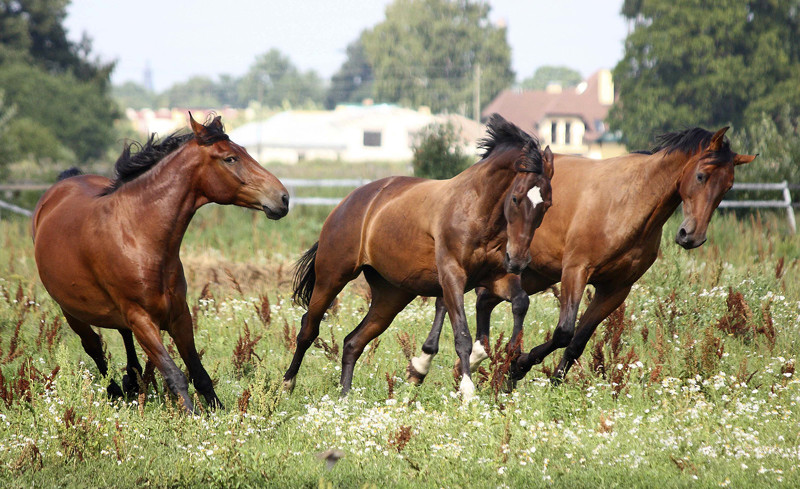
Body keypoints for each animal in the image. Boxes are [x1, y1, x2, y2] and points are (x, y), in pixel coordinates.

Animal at [34, 114, 292, 412]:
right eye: (230, 158)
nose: (283, 198)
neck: (138, 235)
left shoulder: (179, 315)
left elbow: (199, 372)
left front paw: (219, 412)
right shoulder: (142, 320)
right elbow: (174, 374)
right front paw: (192, 416)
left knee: (123, 338)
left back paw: (133, 384)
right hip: (71, 312)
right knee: (94, 347)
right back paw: (116, 392)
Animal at [284, 115, 552, 400]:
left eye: (546, 204)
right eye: (516, 198)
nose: (519, 260)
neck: (475, 209)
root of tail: (348, 202)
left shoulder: (495, 276)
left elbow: (520, 302)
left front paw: (511, 359)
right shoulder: (452, 276)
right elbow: (462, 335)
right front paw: (467, 390)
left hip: (391, 296)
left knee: (352, 341)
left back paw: (345, 397)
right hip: (332, 276)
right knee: (308, 328)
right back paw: (288, 384)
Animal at [412, 127, 756, 386]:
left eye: (728, 187)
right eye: (700, 176)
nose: (691, 236)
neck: (629, 199)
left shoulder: (616, 289)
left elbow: (578, 340)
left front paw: (550, 382)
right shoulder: (576, 270)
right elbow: (564, 331)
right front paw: (518, 367)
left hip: (530, 273)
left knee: (483, 300)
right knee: (449, 299)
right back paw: (429, 364)